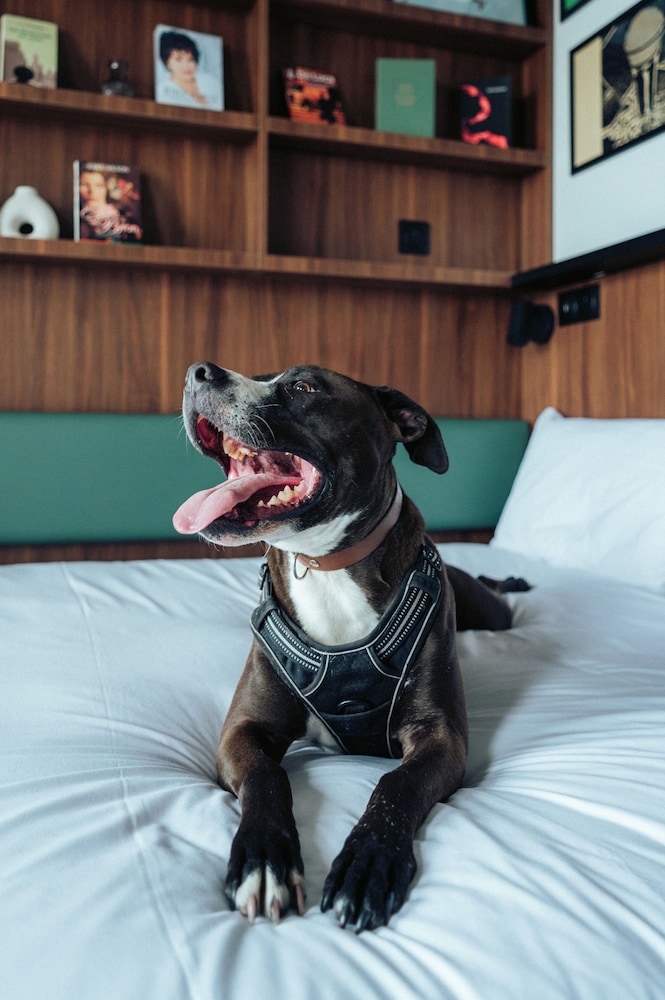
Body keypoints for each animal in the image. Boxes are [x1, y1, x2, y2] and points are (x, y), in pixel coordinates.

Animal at [173, 362, 525, 932]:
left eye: (303, 387)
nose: (198, 371)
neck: (326, 568)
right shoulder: (241, 732)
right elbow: (268, 776)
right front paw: (264, 860)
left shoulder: (441, 739)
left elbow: (395, 787)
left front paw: (368, 865)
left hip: (490, 613)